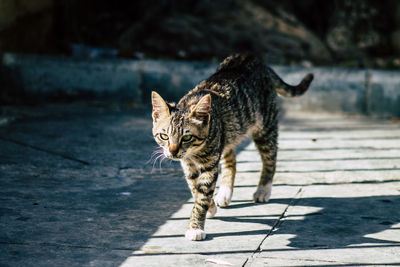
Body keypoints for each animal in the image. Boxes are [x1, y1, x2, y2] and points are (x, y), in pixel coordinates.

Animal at [151, 53, 312, 242]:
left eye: (187, 137)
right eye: (164, 136)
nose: (173, 151)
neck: (194, 153)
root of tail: (253, 58)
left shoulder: (210, 162)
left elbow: (202, 195)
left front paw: (195, 226)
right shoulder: (188, 165)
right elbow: (194, 188)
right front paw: (209, 207)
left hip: (265, 125)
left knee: (270, 158)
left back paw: (263, 189)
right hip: (228, 134)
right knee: (231, 160)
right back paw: (225, 192)